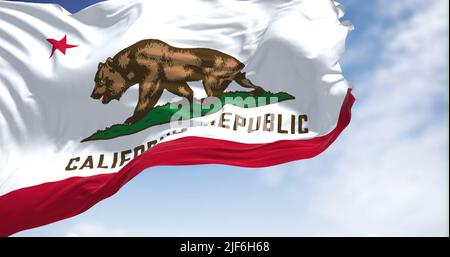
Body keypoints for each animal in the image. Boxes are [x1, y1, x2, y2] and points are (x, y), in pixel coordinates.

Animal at [90, 38, 262, 125]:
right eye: (96, 80)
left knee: (214, 90)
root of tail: (239, 63)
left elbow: (147, 94)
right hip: (234, 75)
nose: (92, 95)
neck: (131, 66)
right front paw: (189, 101)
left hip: (214, 73)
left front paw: (130, 119)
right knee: (245, 81)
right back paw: (256, 90)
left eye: (101, 81)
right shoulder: (169, 79)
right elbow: (182, 88)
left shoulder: (151, 72)